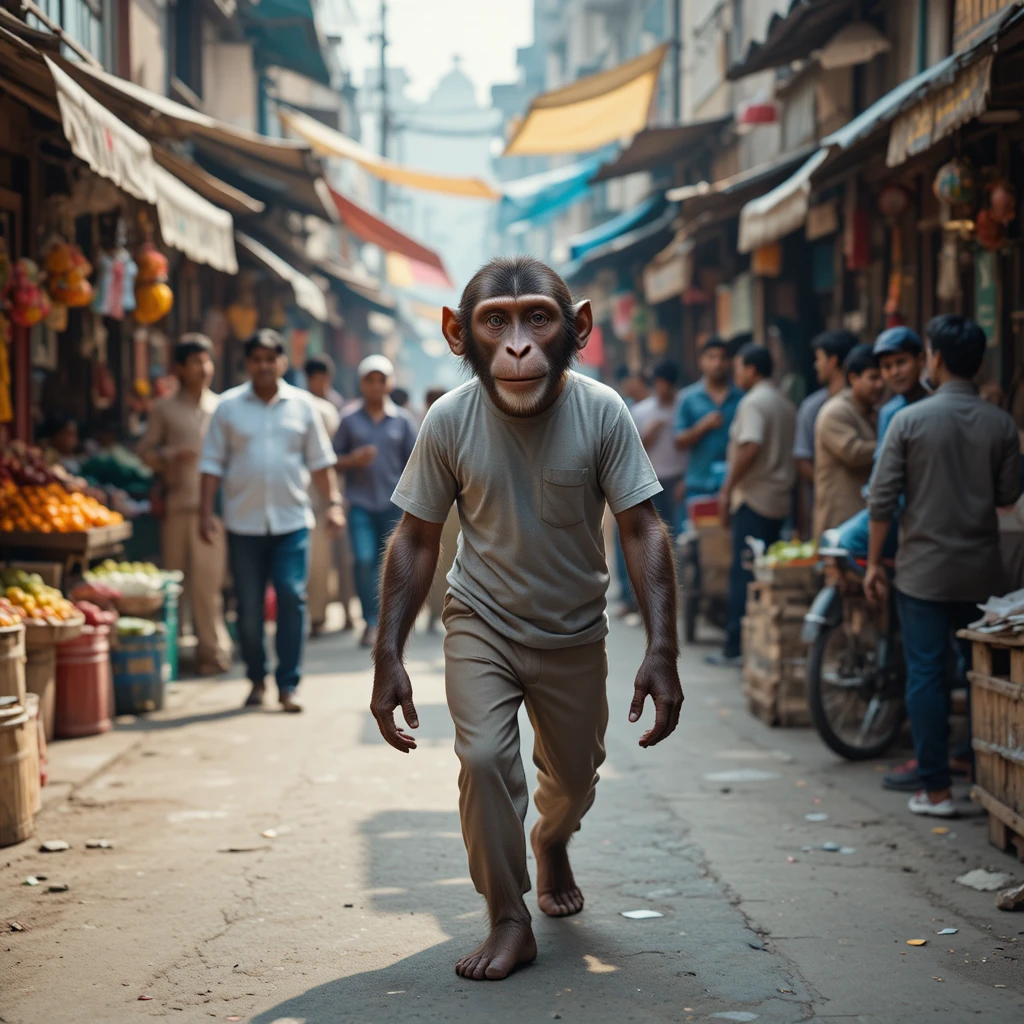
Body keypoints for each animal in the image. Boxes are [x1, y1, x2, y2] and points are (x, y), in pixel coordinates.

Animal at [370, 255, 683, 981]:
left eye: (537, 316)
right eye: (495, 320)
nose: (516, 349)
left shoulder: (620, 424)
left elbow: (640, 530)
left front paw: (660, 677)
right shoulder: (432, 435)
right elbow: (417, 540)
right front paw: (390, 687)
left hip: (576, 686)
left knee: (573, 770)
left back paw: (551, 864)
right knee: (518, 766)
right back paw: (510, 932)